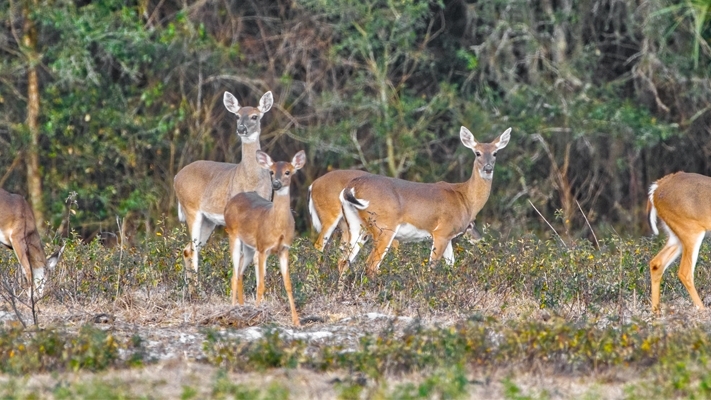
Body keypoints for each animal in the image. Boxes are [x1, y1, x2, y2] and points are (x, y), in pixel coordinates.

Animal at [172, 90, 272, 288]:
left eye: (255, 116)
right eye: (237, 115)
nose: (241, 129)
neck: (251, 180)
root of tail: (176, 177)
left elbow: (258, 256)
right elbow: (239, 257)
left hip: (208, 221)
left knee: (188, 249)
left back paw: (189, 288)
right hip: (191, 209)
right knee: (193, 250)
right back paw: (197, 289)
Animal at [225, 148, 306, 326]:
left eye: (288, 172)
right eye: (271, 172)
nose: (276, 184)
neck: (277, 225)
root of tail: (231, 201)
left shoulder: (284, 249)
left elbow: (288, 284)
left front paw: (296, 321)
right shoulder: (263, 248)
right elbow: (261, 284)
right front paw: (257, 314)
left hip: (249, 245)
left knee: (240, 271)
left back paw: (242, 306)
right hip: (233, 234)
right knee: (234, 273)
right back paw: (233, 308)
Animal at [340, 126, 512, 276]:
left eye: (495, 153)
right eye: (477, 153)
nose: (488, 168)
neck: (465, 198)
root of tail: (351, 188)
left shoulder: (449, 236)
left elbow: (451, 266)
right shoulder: (441, 232)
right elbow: (432, 267)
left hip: (355, 226)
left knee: (343, 263)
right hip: (384, 227)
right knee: (370, 266)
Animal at [648, 171, 711, 312]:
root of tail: (656, 188)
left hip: (676, 236)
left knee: (656, 263)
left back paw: (656, 312)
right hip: (691, 231)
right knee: (685, 272)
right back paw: (702, 311)